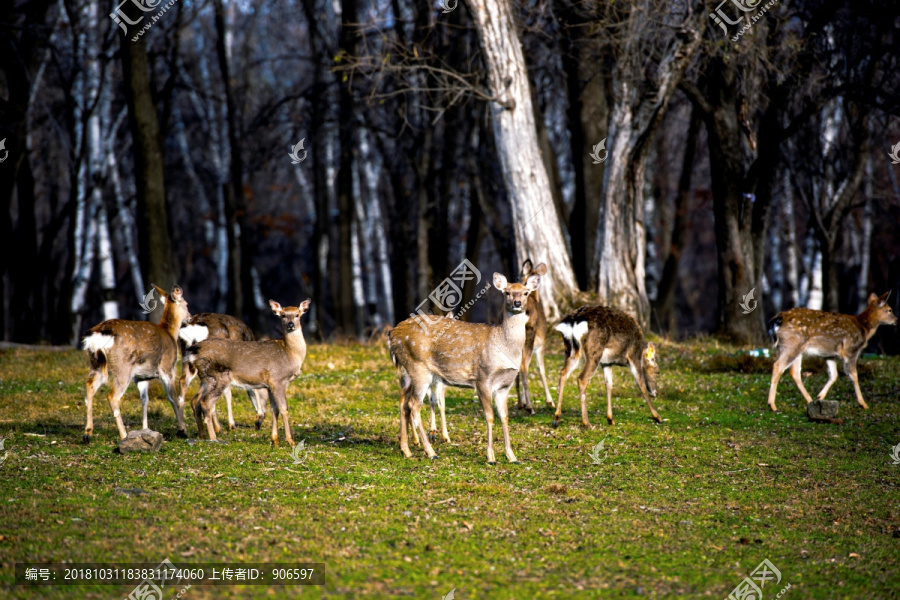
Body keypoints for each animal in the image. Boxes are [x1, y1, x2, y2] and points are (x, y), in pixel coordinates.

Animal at [83, 284, 192, 442]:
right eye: (187, 304)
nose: (190, 317)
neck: (170, 333)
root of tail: (98, 334)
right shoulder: (167, 368)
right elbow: (173, 399)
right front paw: (182, 430)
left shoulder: (141, 377)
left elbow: (144, 401)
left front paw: (145, 430)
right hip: (122, 367)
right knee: (113, 396)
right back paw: (123, 435)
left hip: (95, 362)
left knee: (90, 386)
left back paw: (87, 433)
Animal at [185, 300, 312, 446]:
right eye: (283, 315)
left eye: (297, 315)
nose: (291, 324)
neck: (290, 353)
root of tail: (194, 351)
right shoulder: (278, 379)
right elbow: (283, 409)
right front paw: (291, 441)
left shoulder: (270, 385)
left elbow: (274, 409)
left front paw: (274, 440)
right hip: (219, 377)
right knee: (206, 403)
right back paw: (213, 437)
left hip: (206, 379)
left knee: (195, 401)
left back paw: (202, 435)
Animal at [388, 272, 540, 464]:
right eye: (507, 292)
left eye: (526, 292)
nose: (517, 303)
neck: (504, 349)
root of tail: (393, 335)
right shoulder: (482, 378)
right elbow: (489, 416)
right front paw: (490, 457)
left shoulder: (505, 385)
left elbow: (504, 417)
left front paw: (512, 456)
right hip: (418, 368)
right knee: (414, 405)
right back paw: (430, 451)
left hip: (409, 372)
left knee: (404, 403)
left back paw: (406, 450)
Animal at [512, 258, 556, 412]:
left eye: (517, 277)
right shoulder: (540, 345)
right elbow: (541, 370)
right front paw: (550, 401)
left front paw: (521, 402)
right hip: (529, 339)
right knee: (523, 367)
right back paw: (529, 406)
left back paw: (522, 403)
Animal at [764, 290, 896, 412]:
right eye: (889, 309)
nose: (896, 320)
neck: (864, 328)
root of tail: (777, 320)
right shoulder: (851, 350)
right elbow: (854, 375)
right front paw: (863, 404)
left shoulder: (830, 355)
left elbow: (834, 375)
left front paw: (820, 397)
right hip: (792, 344)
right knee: (778, 366)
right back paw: (772, 405)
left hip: (794, 348)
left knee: (794, 372)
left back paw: (810, 400)